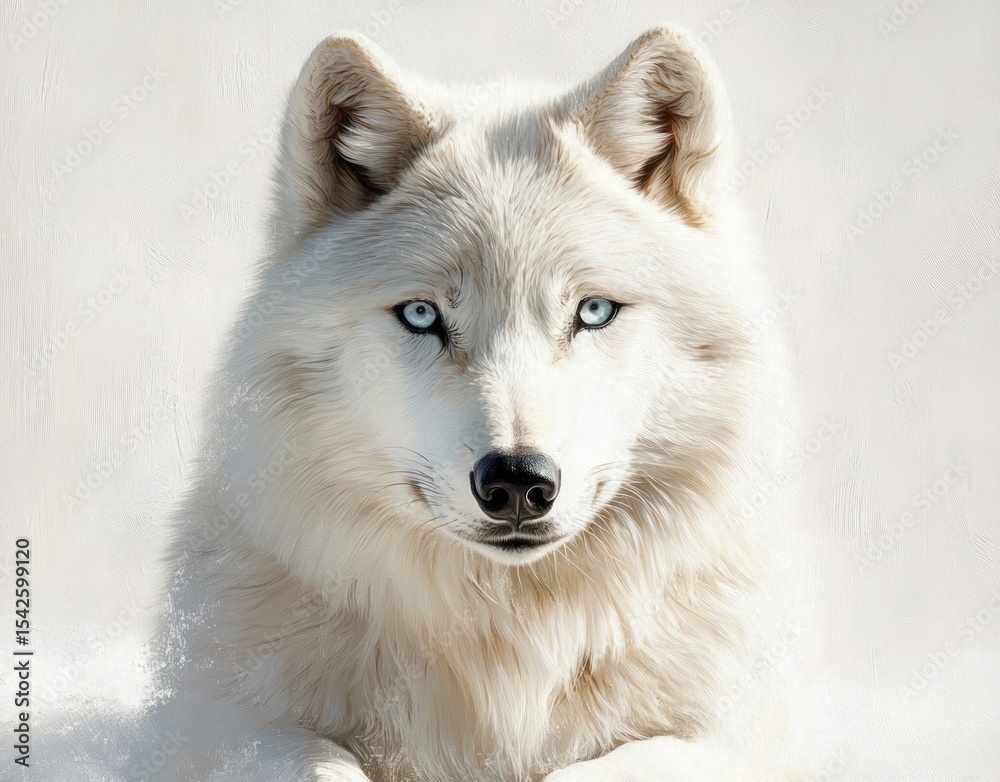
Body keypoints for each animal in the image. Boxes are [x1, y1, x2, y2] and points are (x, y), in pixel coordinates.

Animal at [141, 25, 802, 782]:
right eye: (423, 315)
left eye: (593, 311)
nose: (516, 481)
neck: (508, 649)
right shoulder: (216, 724)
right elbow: (316, 762)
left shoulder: (734, 735)